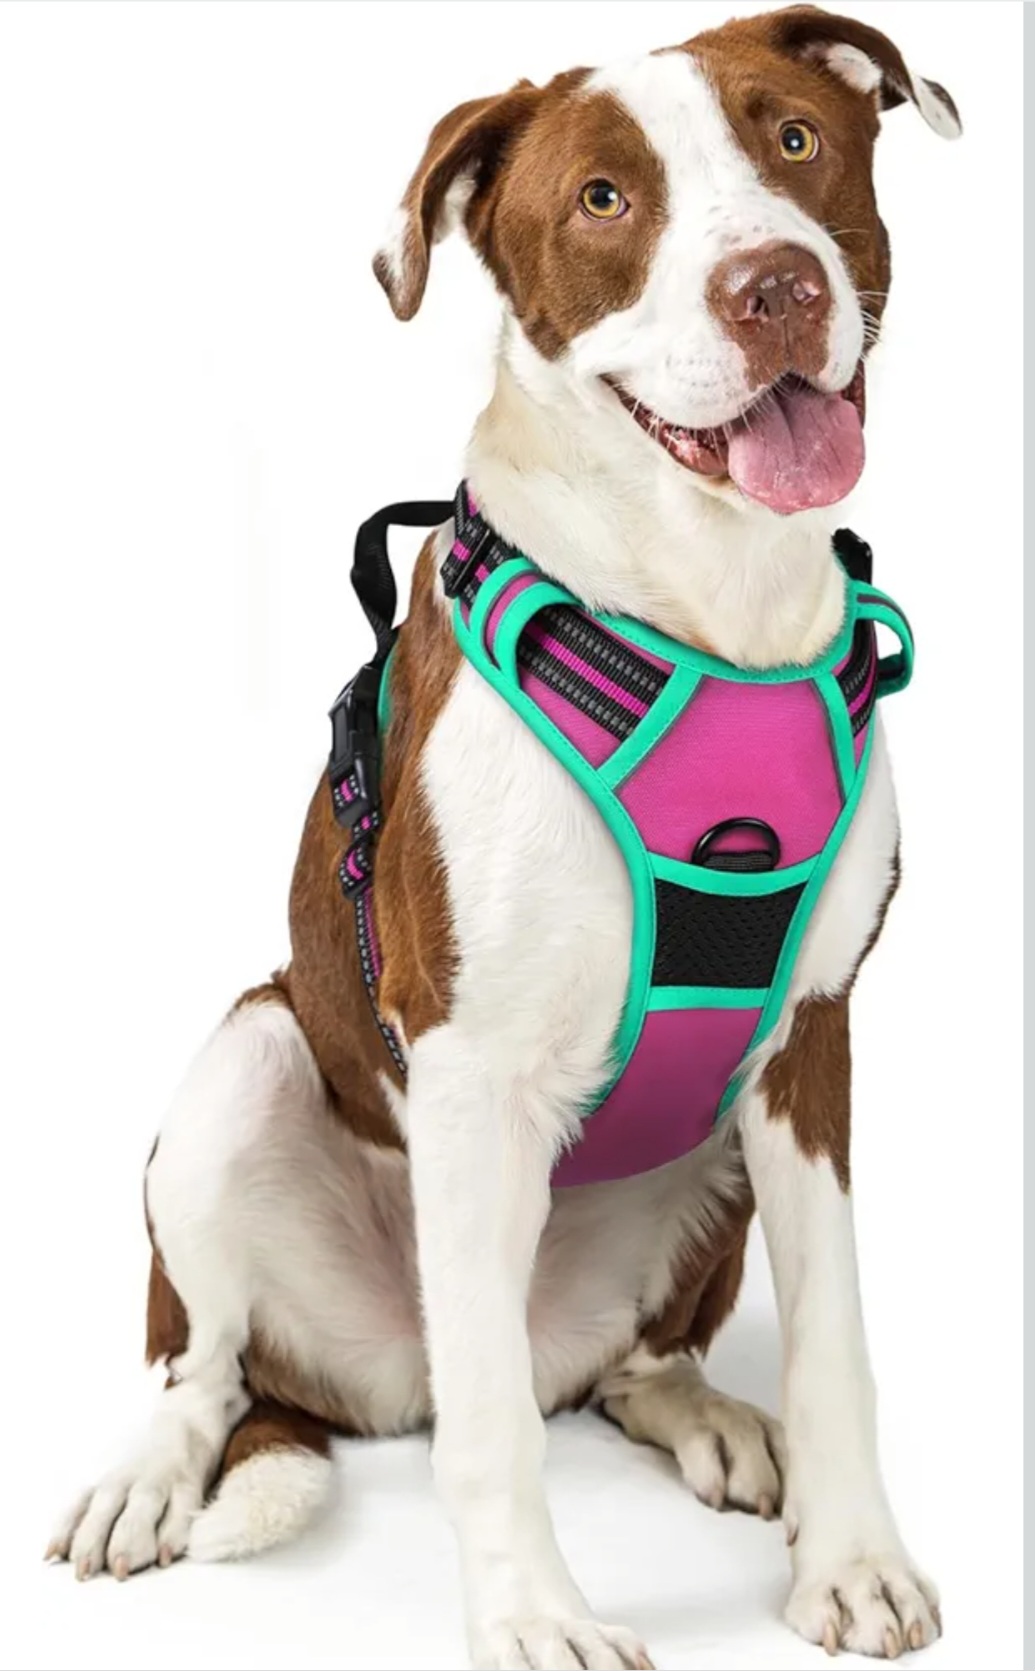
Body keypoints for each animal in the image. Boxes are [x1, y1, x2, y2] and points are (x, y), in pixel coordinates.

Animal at [48, 8, 960, 1667]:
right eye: (602, 199)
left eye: (793, 139)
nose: (776, 284)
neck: (708, 603)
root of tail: (369, 1386)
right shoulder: (467, 1066)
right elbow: (487, 1424)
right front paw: (533, 1610)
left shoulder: (809, 1042)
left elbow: (835, 1340)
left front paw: (851, 1560)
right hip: (245, 1062)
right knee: (223, 1361)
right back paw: (147, 1474)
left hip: (711, 1157)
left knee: (618, 1368)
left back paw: (704, 1412)